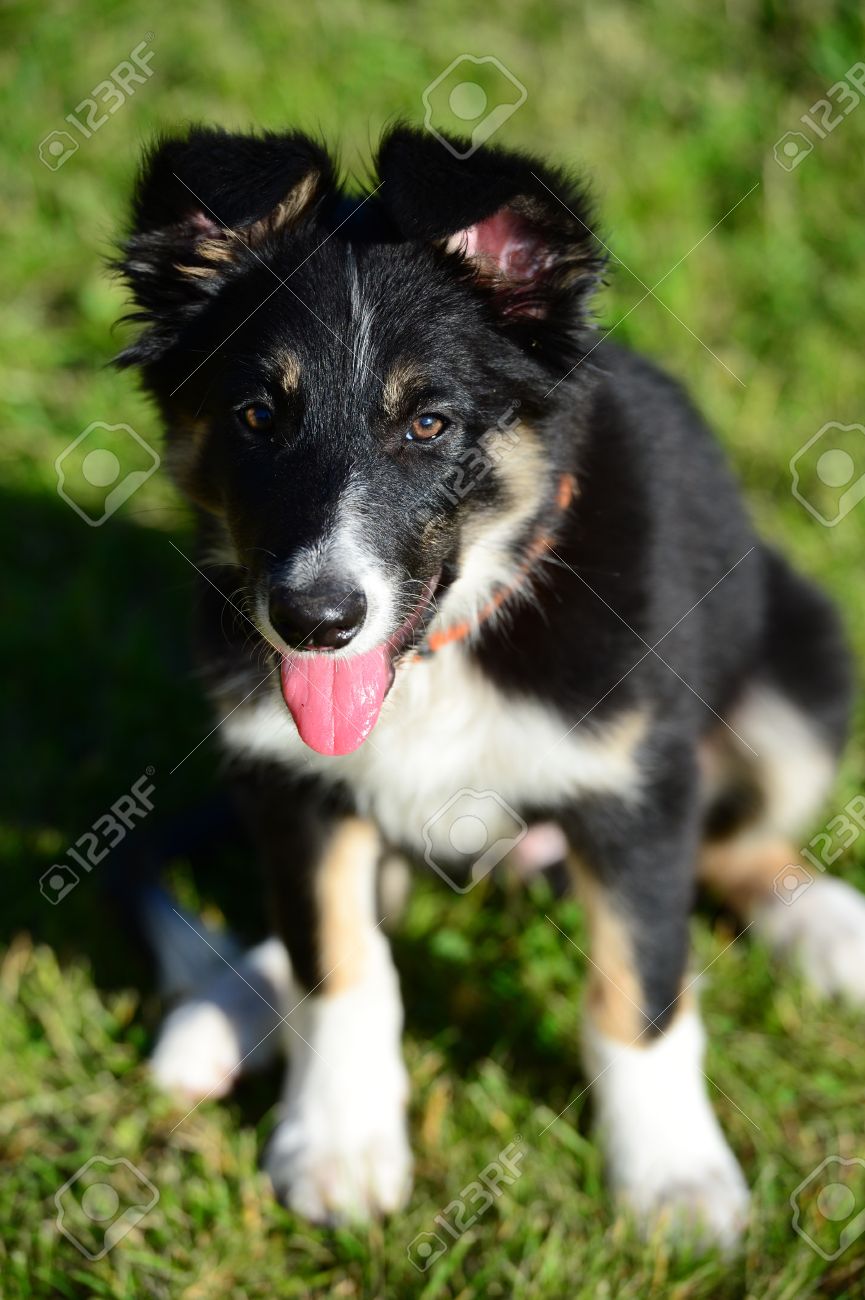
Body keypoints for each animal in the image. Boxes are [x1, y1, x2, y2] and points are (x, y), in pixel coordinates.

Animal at [111, 124, 858, 1248]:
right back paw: (231, 1005)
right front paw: (338, 1145)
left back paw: (828, 929)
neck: (444, 651)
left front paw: (673, 1181)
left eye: (428, 424)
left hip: (799, 681)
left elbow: (637, 989)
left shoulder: (635, 784)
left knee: (742, 845)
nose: (315, 622)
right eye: (254, 416)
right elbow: (341, 966)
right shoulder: (291, 784)